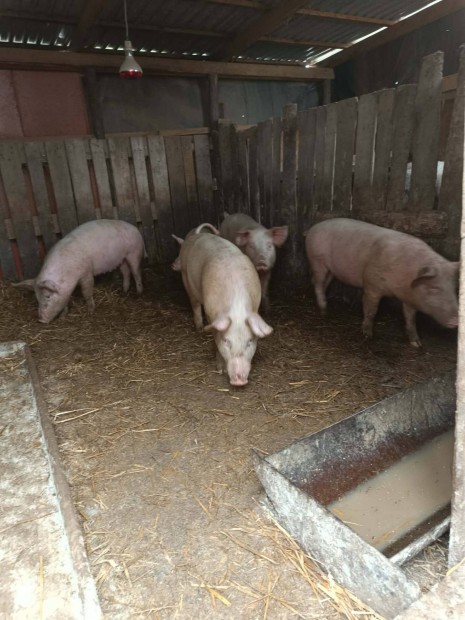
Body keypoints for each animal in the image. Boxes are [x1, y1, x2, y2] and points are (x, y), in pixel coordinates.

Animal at [14, 219, 145, 323]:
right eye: (37, 298)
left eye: (48, 296)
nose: (41, 320)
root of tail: (135, 228)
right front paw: (63, 317)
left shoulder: (86, 273)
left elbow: (86, 292)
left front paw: (90, 311)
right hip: (122, 259)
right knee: (126, 272)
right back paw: (124, 291)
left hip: (134, 252)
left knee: (136, 273)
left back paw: (139, 292)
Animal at [178, 232, 273, 386]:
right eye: (226, 341)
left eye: (249, 342)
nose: (239, 380)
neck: (237, 306)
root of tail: (198, 234)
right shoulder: (211, 314)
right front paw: (220, 370)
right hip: (185, 277)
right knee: (195, 305)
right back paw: (199, 329)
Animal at [305, 218, 459, 347]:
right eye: (434, 288)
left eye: (454, 288)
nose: (456, 319)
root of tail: (313, 227)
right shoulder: (371, 285)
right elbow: (371, 310)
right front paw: (367, 335)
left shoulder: (409, 297)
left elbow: (410, 317)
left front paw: (416, 344)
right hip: (317, 259)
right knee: (317, 282)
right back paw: (323, 309)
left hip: (331, 269)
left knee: (322, 283)